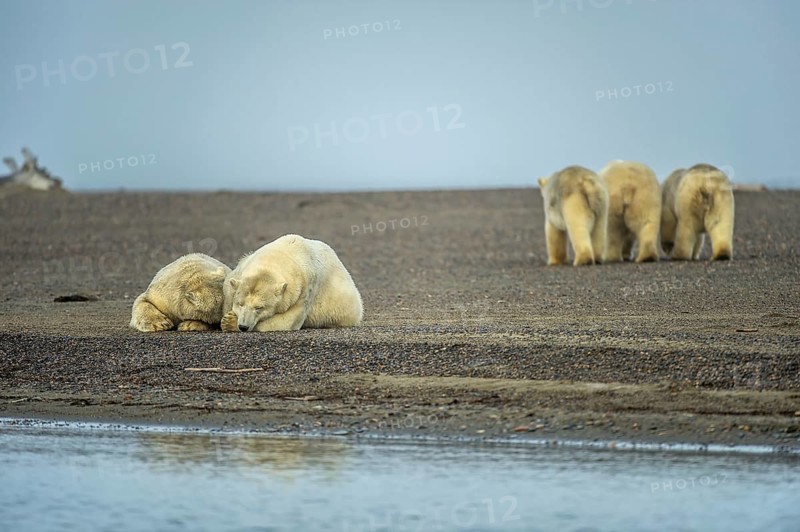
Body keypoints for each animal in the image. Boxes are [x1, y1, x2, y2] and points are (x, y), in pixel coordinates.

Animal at [221, 234, 363, 332]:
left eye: (259, 307)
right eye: (240, 303)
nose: (243, 326)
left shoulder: (305, 288)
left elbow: (287, 321)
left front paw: (230, 322)